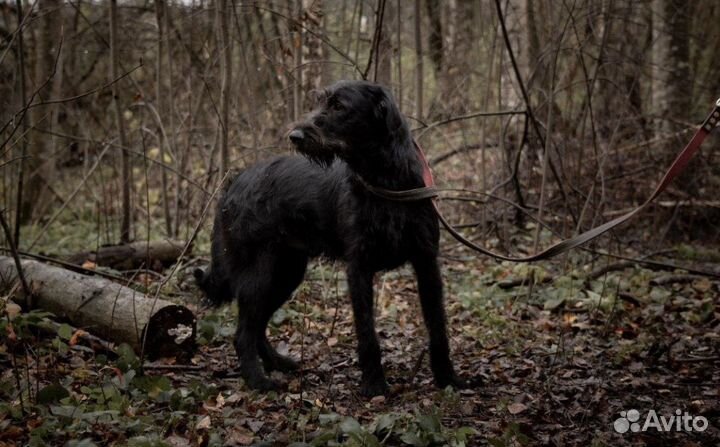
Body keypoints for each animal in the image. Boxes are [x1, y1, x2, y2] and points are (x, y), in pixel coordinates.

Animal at [197, 79, 464, 396]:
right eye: (319, 102)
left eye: (338, 106)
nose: (295, 136)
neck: (383, 180)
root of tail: (232, 185)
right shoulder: (359, 268)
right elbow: (367, 331)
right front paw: (374, 384)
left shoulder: (426, 262)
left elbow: (437, 326)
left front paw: (447, 378)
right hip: (259, 273)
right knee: (243, 333)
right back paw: (259, 381)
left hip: (286, 273)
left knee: (257, 326)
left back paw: (278, 363)